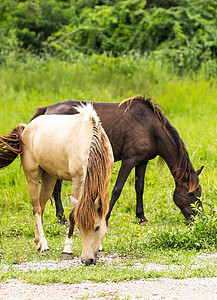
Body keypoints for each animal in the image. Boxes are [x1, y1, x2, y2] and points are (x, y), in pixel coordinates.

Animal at [0, 104, 114, 264]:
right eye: (80, 228)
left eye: (97, 227)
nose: (87, 260)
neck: (89, 140)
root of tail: (27, 128)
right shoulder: (77, 179)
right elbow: (72, 215)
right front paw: (67, 249)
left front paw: (101, 247)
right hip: (32, 176)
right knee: (36, 209)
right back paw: (44, 245)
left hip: (49, 178)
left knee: (41, 207)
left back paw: (38, 243)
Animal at [30, 97, 203, 224]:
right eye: (191, 194)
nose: (198, 219)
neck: (150, 128)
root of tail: (47, 109)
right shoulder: (129, 160)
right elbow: (117, 189)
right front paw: (105, 218)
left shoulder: (142, 161)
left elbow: (139, 187)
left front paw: (141, 217)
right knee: (57, 187)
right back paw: (62, 218)